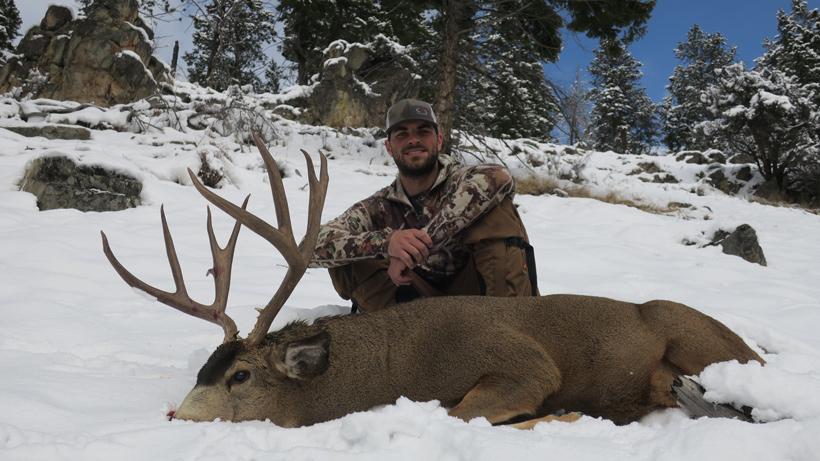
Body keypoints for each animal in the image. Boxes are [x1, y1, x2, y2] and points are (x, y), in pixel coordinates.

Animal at [100, 133, 764, 429]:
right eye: (201, 372)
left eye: (239, 375)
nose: (175, 419)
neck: (396, 364)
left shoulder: (524, 364)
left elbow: (463, 411)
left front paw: (562, 419)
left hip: (693, 335)